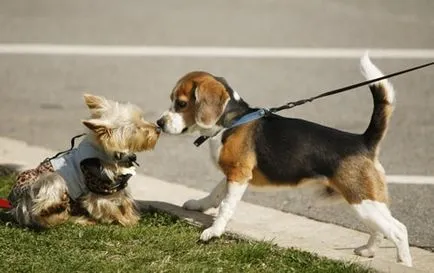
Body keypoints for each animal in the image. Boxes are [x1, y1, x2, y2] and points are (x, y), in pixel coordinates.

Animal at [8, 93, 161, 227]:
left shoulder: (118, 183)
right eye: (136, 129)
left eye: (142, 118)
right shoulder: (97, 185)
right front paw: (124, 221)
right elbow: (106, 205)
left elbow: (125, 200)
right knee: (43, 207)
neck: (112, 156)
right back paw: (54, 207)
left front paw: (130, 217)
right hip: (49, 179)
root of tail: (17, 206)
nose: (158, 128)